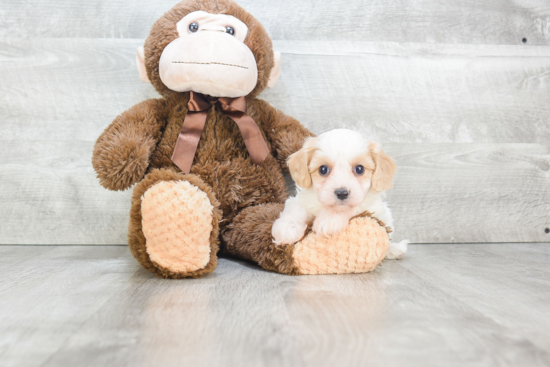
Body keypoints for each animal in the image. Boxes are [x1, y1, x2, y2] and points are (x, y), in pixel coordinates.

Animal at [272, 129, 410, 258]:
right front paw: (287, 229)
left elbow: (354, 207)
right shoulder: (301, 199)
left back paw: (395, 249)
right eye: (323, 169)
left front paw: (329, 219)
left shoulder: (373, 207)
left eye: (359, 169)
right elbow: (296, 209)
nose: (342, 193)